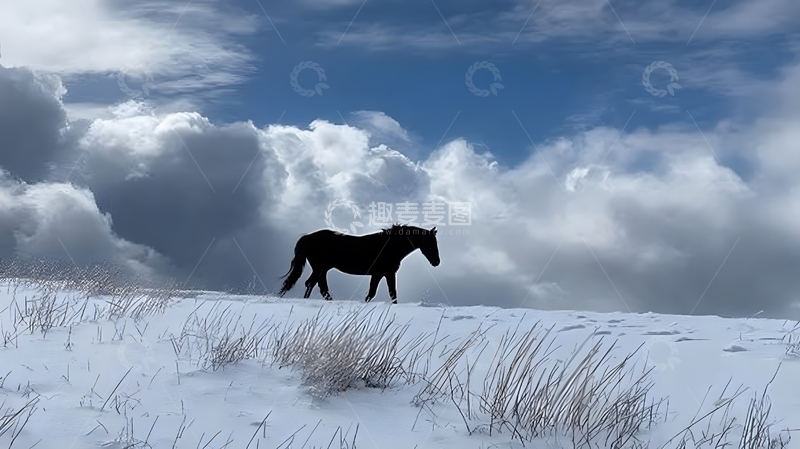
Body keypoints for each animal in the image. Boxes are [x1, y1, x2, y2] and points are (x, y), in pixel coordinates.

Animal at [277, 224, 440, 304]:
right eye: (431, 243)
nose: (436, 262)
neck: (389, 246)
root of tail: (308, 237)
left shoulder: (382, 274)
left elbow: (384, 293)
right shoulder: (384, 273)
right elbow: (382, 293)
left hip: (322, 269)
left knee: (319, 286)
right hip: (320, 268)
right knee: (312, 284)